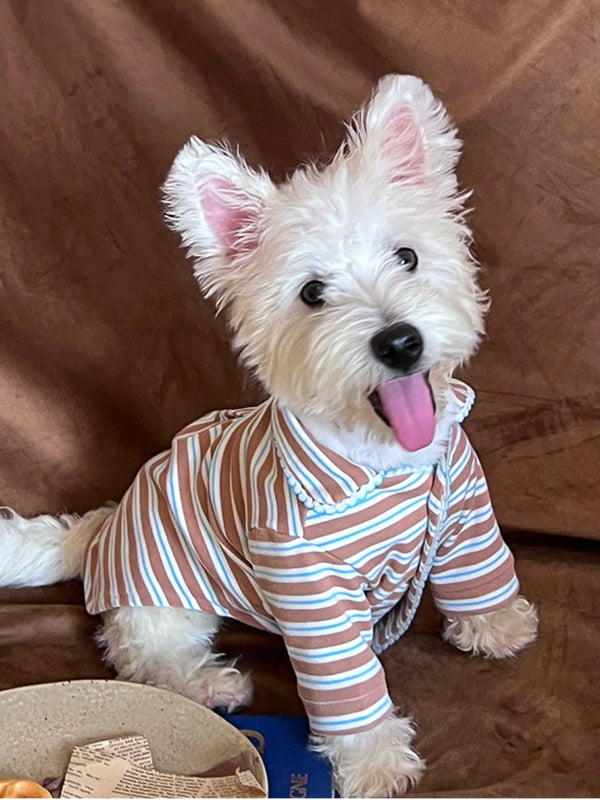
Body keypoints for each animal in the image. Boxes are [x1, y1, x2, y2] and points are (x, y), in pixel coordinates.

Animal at [0, 73, 536, 792]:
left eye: (407, 256)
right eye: (312, 293)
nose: (398, 342)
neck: (383, 459)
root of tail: (105, 526)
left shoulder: (465, 511)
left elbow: (479, 573)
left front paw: (498, 625)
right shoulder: (311, 587)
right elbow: (349, 686)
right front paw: (375, 761)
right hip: (166, 596)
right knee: (144, 653)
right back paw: (208, 684)